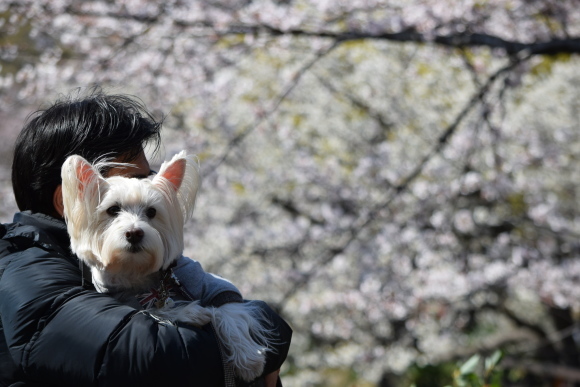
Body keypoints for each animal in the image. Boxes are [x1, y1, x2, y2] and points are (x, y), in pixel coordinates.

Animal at [61, 151, 270, 382]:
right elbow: (156, 311)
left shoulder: (211, 284)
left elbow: (229, 311)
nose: (134, 233)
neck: (137, 270)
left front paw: (250, 360)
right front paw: (191, 313)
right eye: (113, 210)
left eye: (152, 212)